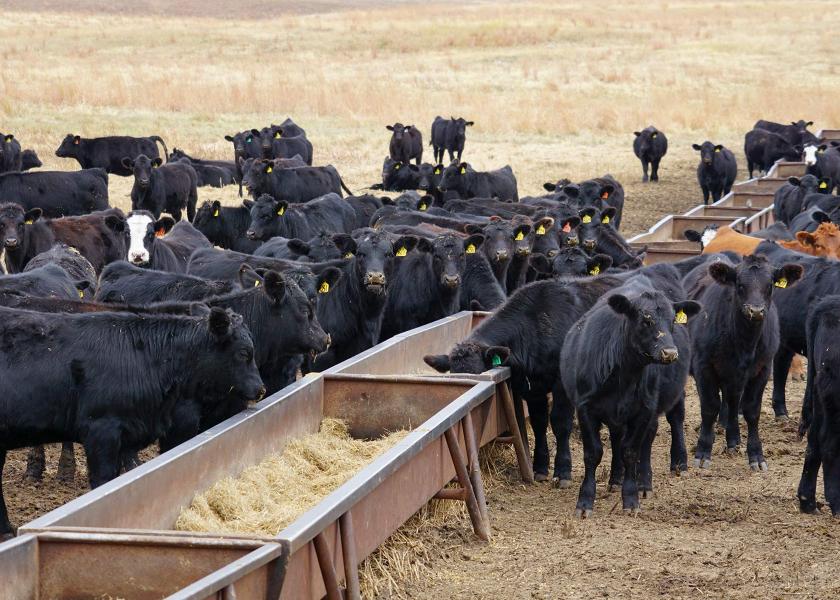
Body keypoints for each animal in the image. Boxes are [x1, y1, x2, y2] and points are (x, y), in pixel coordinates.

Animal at [561, 279, 699, 516]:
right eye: (646, 320)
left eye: (673, 320)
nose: (670, 353)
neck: (624, 374)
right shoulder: (585, 408)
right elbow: (593, 453)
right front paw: (585, 501)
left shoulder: (644, 410)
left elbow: (632, 451)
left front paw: (632, 497)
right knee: (618, 437)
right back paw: (615, 479)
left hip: (670, 398)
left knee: (669, 425)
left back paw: (660, 473)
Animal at [687, 254, 802, 471]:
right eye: (740, 285)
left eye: (770, 286)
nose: (756, 311)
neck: (744, 342)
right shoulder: (703, 366)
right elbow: (709, 407)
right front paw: (703, 452)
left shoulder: (762, 369)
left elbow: (751, 411)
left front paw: (756, 455)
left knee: (732, 403)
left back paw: (733, 440)